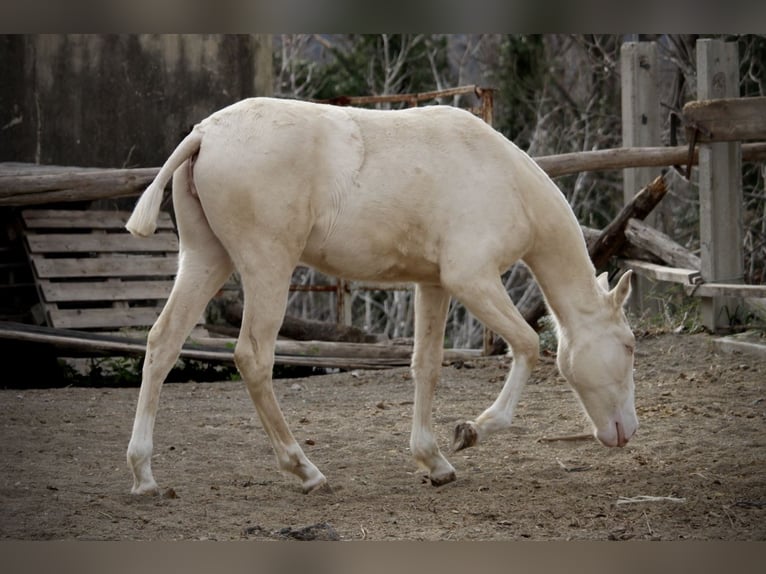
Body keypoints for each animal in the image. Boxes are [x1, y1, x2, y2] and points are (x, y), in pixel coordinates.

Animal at [127, 98, 640, 496]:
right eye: (630, 346)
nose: (626, 432)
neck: (503, 177)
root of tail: (204, 136)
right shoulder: (472, 279)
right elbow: (529, 345)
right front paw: (472, 430)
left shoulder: (434, 284)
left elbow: (426, 366)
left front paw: (434, 462)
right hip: (268, 266)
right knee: (252, 357)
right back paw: (305, 470)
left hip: (205, 260)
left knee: (163, 343)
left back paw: (145, 476)